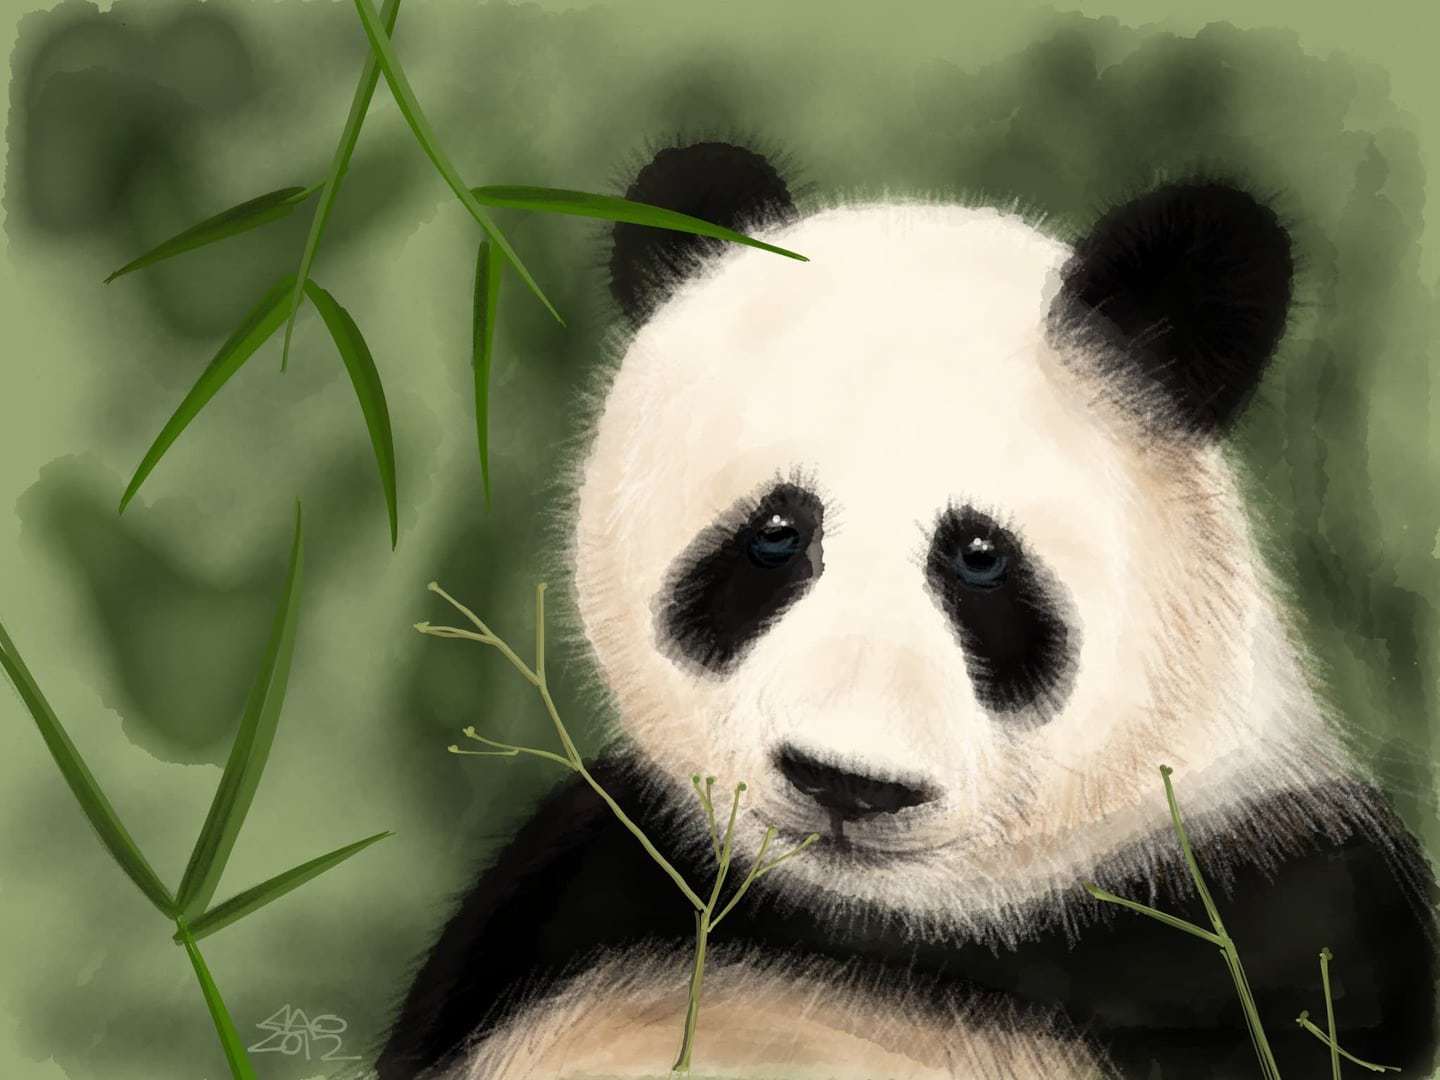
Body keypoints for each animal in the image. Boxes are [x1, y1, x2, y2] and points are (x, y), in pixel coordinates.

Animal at [377, 142, 1440, 1079]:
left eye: (979, 559)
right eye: (775, 534)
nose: (849, 783)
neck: (891, 927)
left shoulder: (1285, 902)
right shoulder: (584, 879)